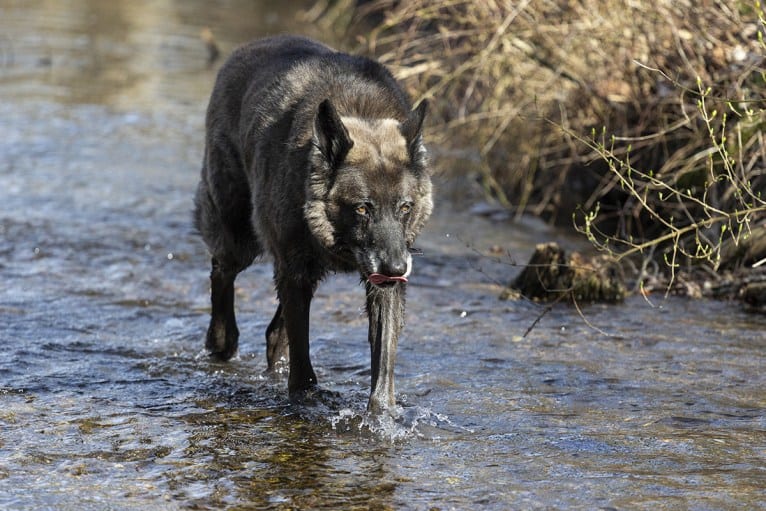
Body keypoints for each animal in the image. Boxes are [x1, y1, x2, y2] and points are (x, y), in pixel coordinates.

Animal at [194, 35, 432, 412]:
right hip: (240, 239)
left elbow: (383, 365)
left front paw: (381, 416)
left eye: (405, 208)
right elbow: (302, 357)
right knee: (222, 273)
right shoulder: (296, 272)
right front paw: (304, 400)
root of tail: (245, 49)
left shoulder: (379, 283)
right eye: (362, 209)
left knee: (275, 333)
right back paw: (221, 341)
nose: (397, 269)